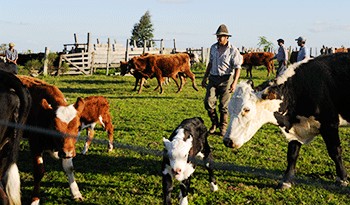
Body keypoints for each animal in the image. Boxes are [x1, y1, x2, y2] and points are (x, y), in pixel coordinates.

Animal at [18, 75, 85, 205]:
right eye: (54, 127)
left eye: (78, 127)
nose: (68, 153)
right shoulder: (35, 144)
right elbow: (39, 171)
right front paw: (35, 200)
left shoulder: (66, 148)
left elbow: (69, 168)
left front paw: (76, 193)